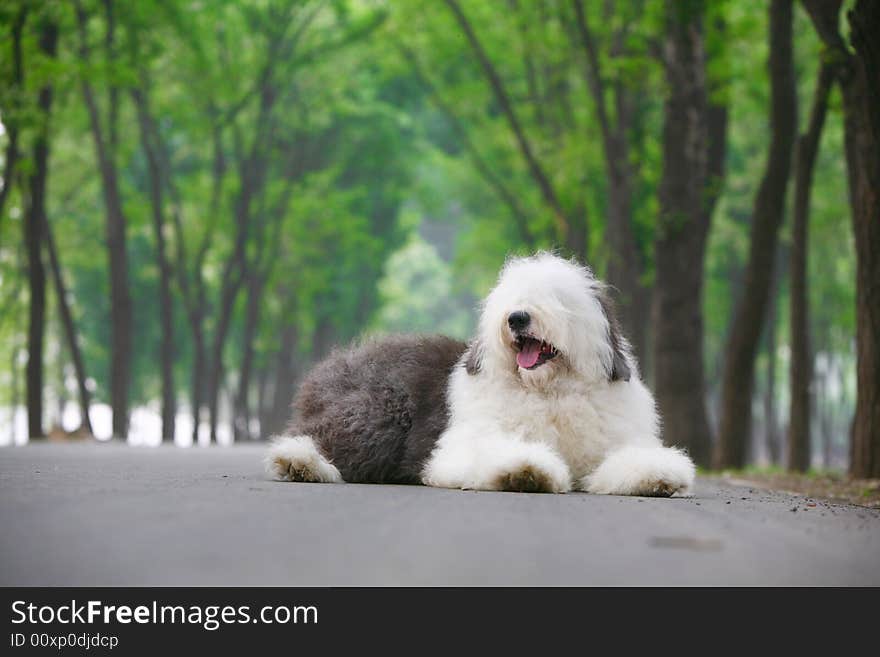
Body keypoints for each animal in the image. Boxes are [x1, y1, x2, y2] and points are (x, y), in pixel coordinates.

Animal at [264, 251, 696, 492]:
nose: (517, 317)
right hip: (376, 413)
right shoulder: (466, 442)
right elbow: (495, 450)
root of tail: (336, 362)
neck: (548, 391)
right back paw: (301, 462)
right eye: (510, 298)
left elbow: (624, 460)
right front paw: (525, 470)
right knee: (323, 440)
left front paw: (657, 475)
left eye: (557, 298)